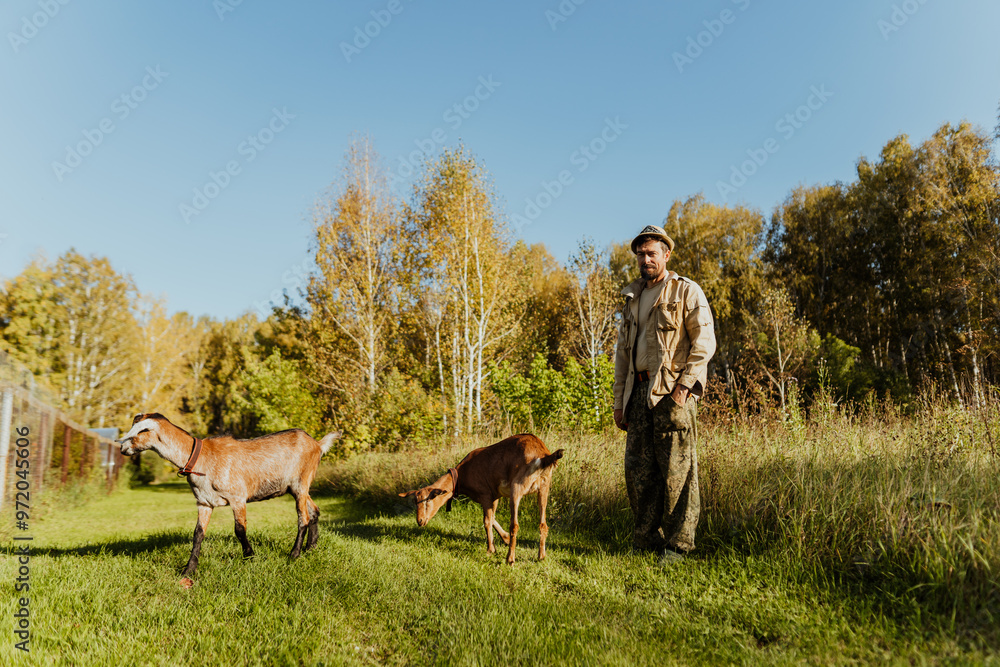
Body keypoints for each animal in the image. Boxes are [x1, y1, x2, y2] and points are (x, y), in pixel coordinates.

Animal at [118, 413, 340, 577]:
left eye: (142, 430)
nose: (122, 448)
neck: (201, 457)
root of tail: (317, 444)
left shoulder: (238, 498)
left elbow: (239, 530)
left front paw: (250, 556)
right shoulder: (204, 502)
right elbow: (197, 534)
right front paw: (189, 570)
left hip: (301, 482)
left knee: (303, 518)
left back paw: (294, 554)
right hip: (297, 488)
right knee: (314, 511)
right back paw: (311, 548)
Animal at [399, 434, 564, 565]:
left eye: (429, 499)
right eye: (415, 501)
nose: (420, 521)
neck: (461, 476)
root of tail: (543, 455)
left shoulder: (485, 494)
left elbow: (486, 521)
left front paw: (491, 549)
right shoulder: (494, 495)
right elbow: (492, 517)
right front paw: (504, 539)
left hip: (517, 487)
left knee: (515, 525)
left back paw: (510, 559)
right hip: (544, 486)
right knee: (543, 524)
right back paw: (541, 556)